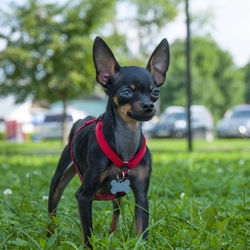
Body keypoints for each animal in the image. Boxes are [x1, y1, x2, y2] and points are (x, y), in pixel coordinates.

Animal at [47, 37, 170, 248]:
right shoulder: (84, 196)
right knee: (52, 212)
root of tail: (83, 119)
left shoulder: (141, 196)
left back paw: (113, 232)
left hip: (118, 189)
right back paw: (49, 238)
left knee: (116, 207)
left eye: (155, 92)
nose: (149, 105)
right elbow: (88, 234)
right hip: (58, 181)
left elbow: (142, 229)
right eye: (126, 92)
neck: (126, 141)